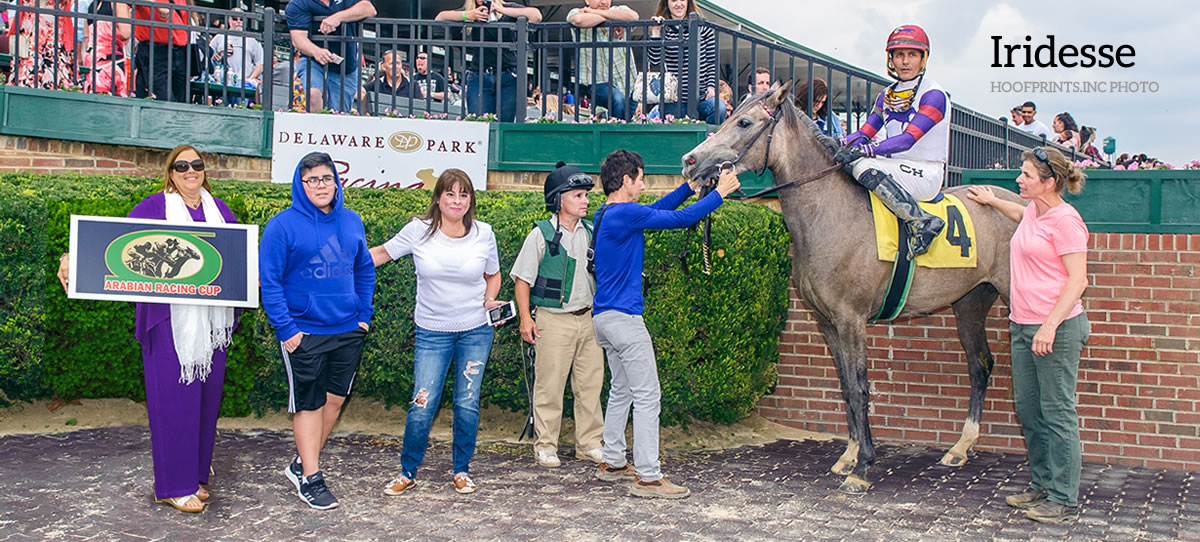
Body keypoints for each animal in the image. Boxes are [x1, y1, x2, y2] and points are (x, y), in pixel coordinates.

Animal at [686, 81, 1022, 496]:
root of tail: (1018, 201)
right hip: (970, 303)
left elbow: (861, 387)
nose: (690, 161)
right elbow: (846, 386)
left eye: (744, 122)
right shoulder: (826, 320)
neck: (829, 212)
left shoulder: (852, 318)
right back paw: (960, 448)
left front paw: (862, 467)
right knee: (979, 365)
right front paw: (848, 456)